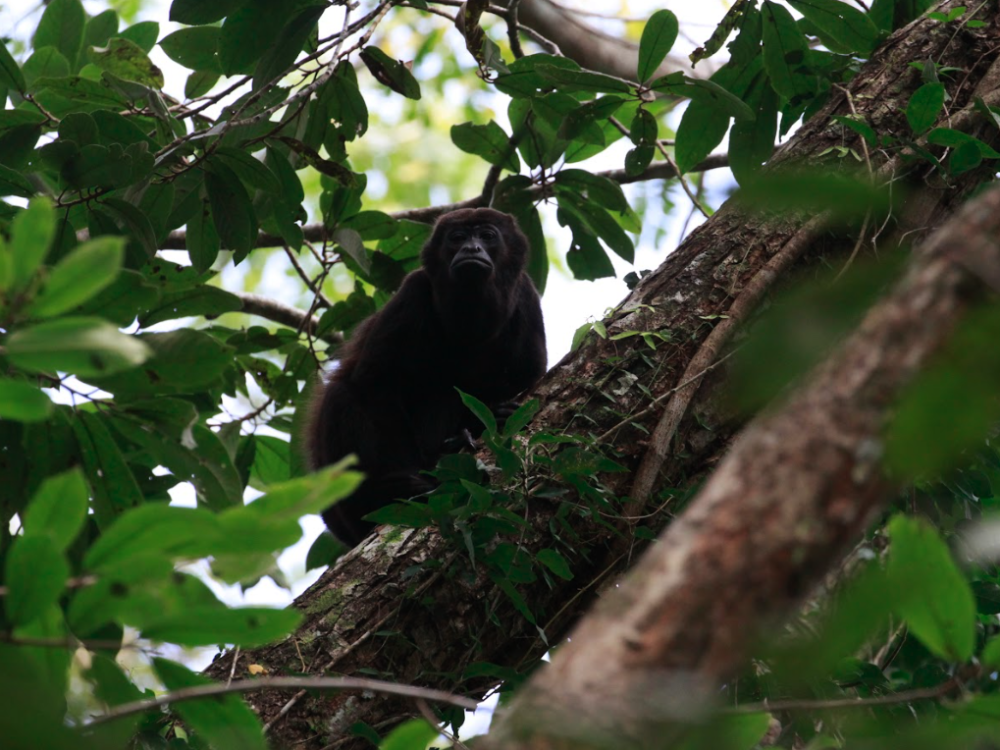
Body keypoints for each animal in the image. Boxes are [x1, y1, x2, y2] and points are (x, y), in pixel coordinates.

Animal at [306, 208, 547, 547]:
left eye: (487, 236)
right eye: (457, 237)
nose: (471, 248)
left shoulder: (526, 295)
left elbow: (528, 378)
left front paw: (496, 416)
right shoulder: (413, 290)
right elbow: (375, 383)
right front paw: (409, 484)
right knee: (342, 394)